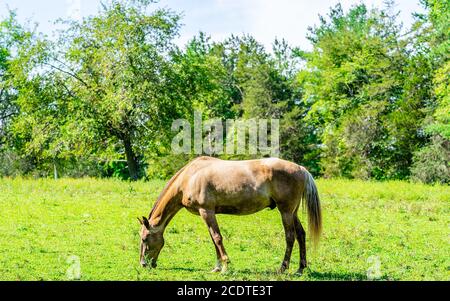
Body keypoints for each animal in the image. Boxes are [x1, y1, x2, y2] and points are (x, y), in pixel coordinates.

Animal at [137, 156, 320, 274]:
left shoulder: (206, 211)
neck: (190, 177)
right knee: (301, 234)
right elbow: (213, 239)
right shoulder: (208, 214)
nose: (143, 264)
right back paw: (300, 269)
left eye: (145, 239)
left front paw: (225, 266)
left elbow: (217, 238)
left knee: (290, 237)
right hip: (293, 212)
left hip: (286, 212)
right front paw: (217, 267)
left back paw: (282, 268)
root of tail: (301, 169)